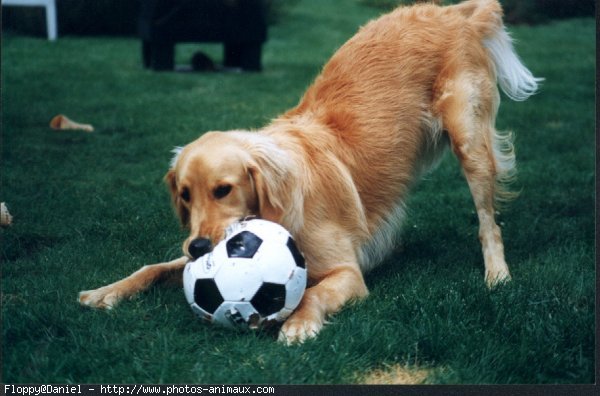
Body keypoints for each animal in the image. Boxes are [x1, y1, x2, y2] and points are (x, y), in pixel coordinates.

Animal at [77, 0, 540, 344]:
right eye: (185, 195)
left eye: (224, 189)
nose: (199, 247)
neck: (279, 213)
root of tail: (450, 11)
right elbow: (151, 268)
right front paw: (106, 291)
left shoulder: (347, 274)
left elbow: (311, 294)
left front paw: (299, 323)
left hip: (470, 141)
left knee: (488, 222)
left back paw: (497, 274)